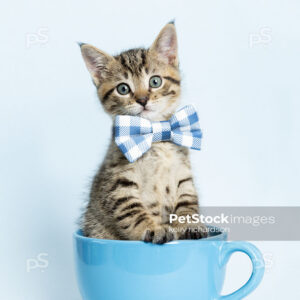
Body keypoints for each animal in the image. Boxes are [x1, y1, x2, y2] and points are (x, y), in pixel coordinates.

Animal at [79, 21, 206, 244]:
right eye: (123, 89)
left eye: (155, 81)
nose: (142, 99)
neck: (156, 136)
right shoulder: (118, 183)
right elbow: (131, 211)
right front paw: (153, 229)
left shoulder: (183, 175)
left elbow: (187, 201)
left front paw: (190, 224)